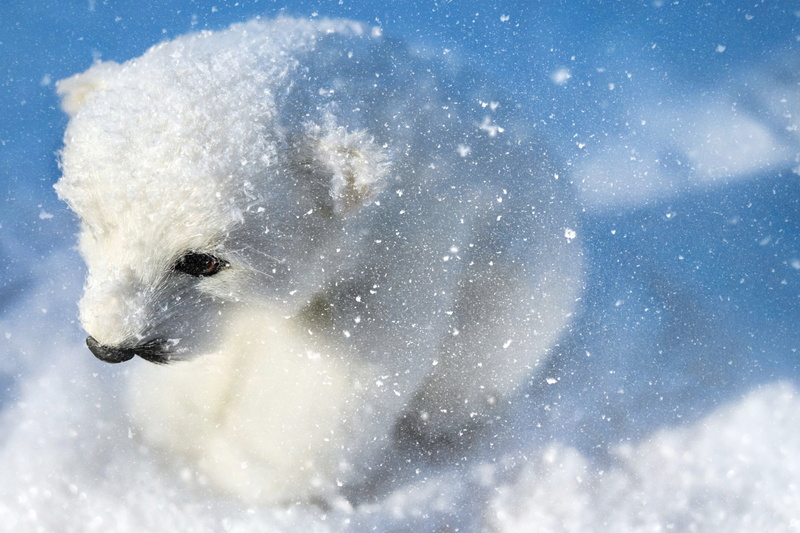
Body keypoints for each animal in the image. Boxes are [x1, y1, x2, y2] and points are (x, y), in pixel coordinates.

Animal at [54, 16, 583, 505]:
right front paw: (173, 430)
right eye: (95, 225)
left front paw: (244, 469)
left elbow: (327, 378)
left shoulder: (398, 254)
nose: (109, 346)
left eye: (204, 261)